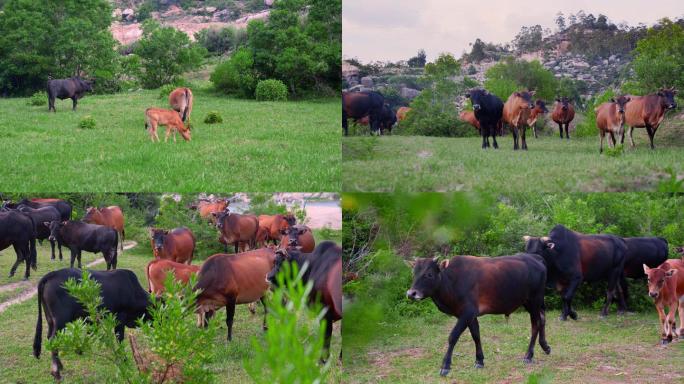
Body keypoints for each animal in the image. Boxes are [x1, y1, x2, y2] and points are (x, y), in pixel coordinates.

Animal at [406, 254, 552, 376]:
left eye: (429, 274)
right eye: (414, 273)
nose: (411, 293)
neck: (453, 280)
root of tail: (535, 257)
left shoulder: (467, 313)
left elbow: (453, 337)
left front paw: (445, 366)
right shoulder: (470, 316)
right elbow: (476, 335)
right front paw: (479, 360)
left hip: (534, 300)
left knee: (536, 324)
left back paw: (529, 355)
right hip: (530, 303)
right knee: (542, 319)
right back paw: (545, 347)